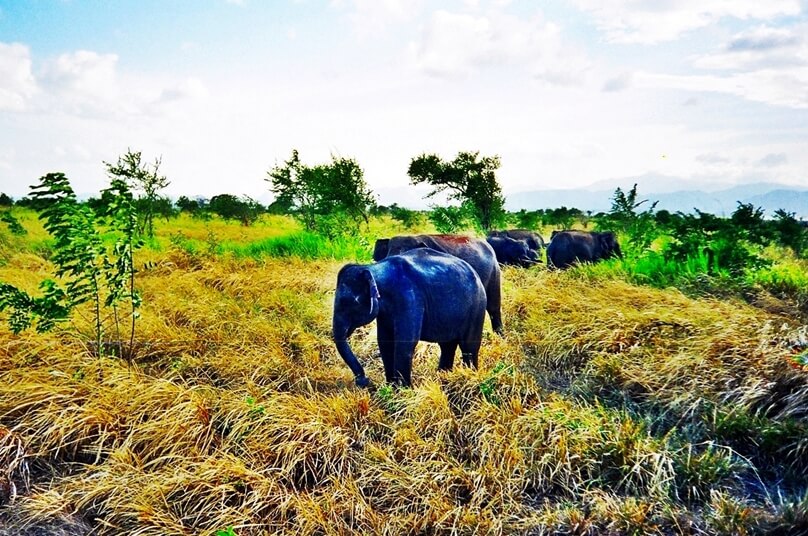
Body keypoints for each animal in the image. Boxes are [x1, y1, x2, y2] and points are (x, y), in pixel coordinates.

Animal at [330, 249, 486, 388]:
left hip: (477, 307)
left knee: (469, 346)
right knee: (447, 345)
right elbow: (385, 341)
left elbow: (405, 342)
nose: (363, 381)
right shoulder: (385, 312)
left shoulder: (409, 299)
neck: (373, 269)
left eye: (350, 303)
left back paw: (470, 374)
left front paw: (404, 390)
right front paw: (391, 388)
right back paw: (443, 375)